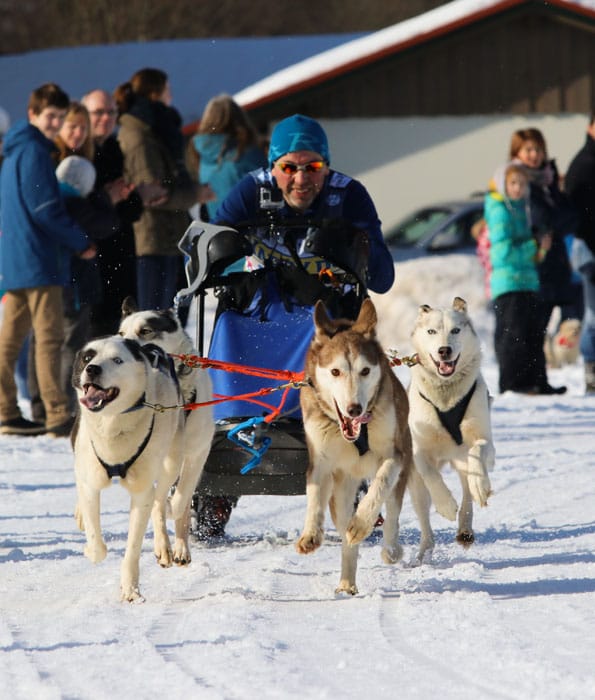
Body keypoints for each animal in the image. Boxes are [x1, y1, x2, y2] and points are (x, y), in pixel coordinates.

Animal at [72, 336, 185, 600]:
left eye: (117, 360)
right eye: (87, 357)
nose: (92, 369)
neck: (112, 427)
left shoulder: (141, 492)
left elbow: (133, 547)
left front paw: (131, 588)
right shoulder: (91, 481)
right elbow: (96, 543)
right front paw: (90, 547)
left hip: (171, 463)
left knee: (159, 501)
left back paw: (163, 544)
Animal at [118, 296, 214, 556]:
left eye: (145, 331)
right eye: (121, 333)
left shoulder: (197, 453)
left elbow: (182, 498)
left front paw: (175, 512)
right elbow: (160, 502)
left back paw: (179, 546)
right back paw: (164, 544)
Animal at [296, 298, 412, 592]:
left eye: (365, 370)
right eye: (335, 371)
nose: (354, 409)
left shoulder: (395, 455)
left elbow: (380, 485)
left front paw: (361, 523)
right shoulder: (320, 463)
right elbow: (314, 497)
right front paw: (310, 534)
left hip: (404, 467)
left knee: (391, 513)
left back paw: (389, 548)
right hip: (341, 492)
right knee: (346, 538)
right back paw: (347, 581)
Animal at [408, 298, 496, 560]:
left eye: (456, 330)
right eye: (431, 331)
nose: (444, 350)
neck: (446, 394)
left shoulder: (484, 440)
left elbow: (478, 451)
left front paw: (481, 486)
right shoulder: (419, 451)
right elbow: (431, 475)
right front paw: (446, 504)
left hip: (462, 461)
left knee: (467, 490)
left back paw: (466, 527)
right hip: (415, 486)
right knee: (424, 516)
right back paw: (423, 552)